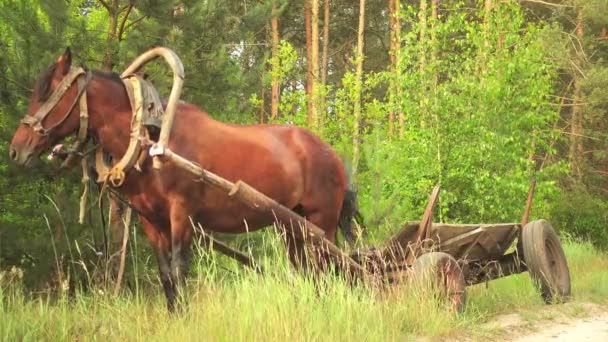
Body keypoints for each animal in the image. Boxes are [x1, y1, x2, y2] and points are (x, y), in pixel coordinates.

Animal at [8, 48, 360, 312]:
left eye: (47, 92)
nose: (15, 150)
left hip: (321, 223)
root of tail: (332, 154)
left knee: (328, 269)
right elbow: (166, 275)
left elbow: (179, 270)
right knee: (307, 271)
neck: (151, 137)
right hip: (293, 227)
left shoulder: (182, 214)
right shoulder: (152, 220)